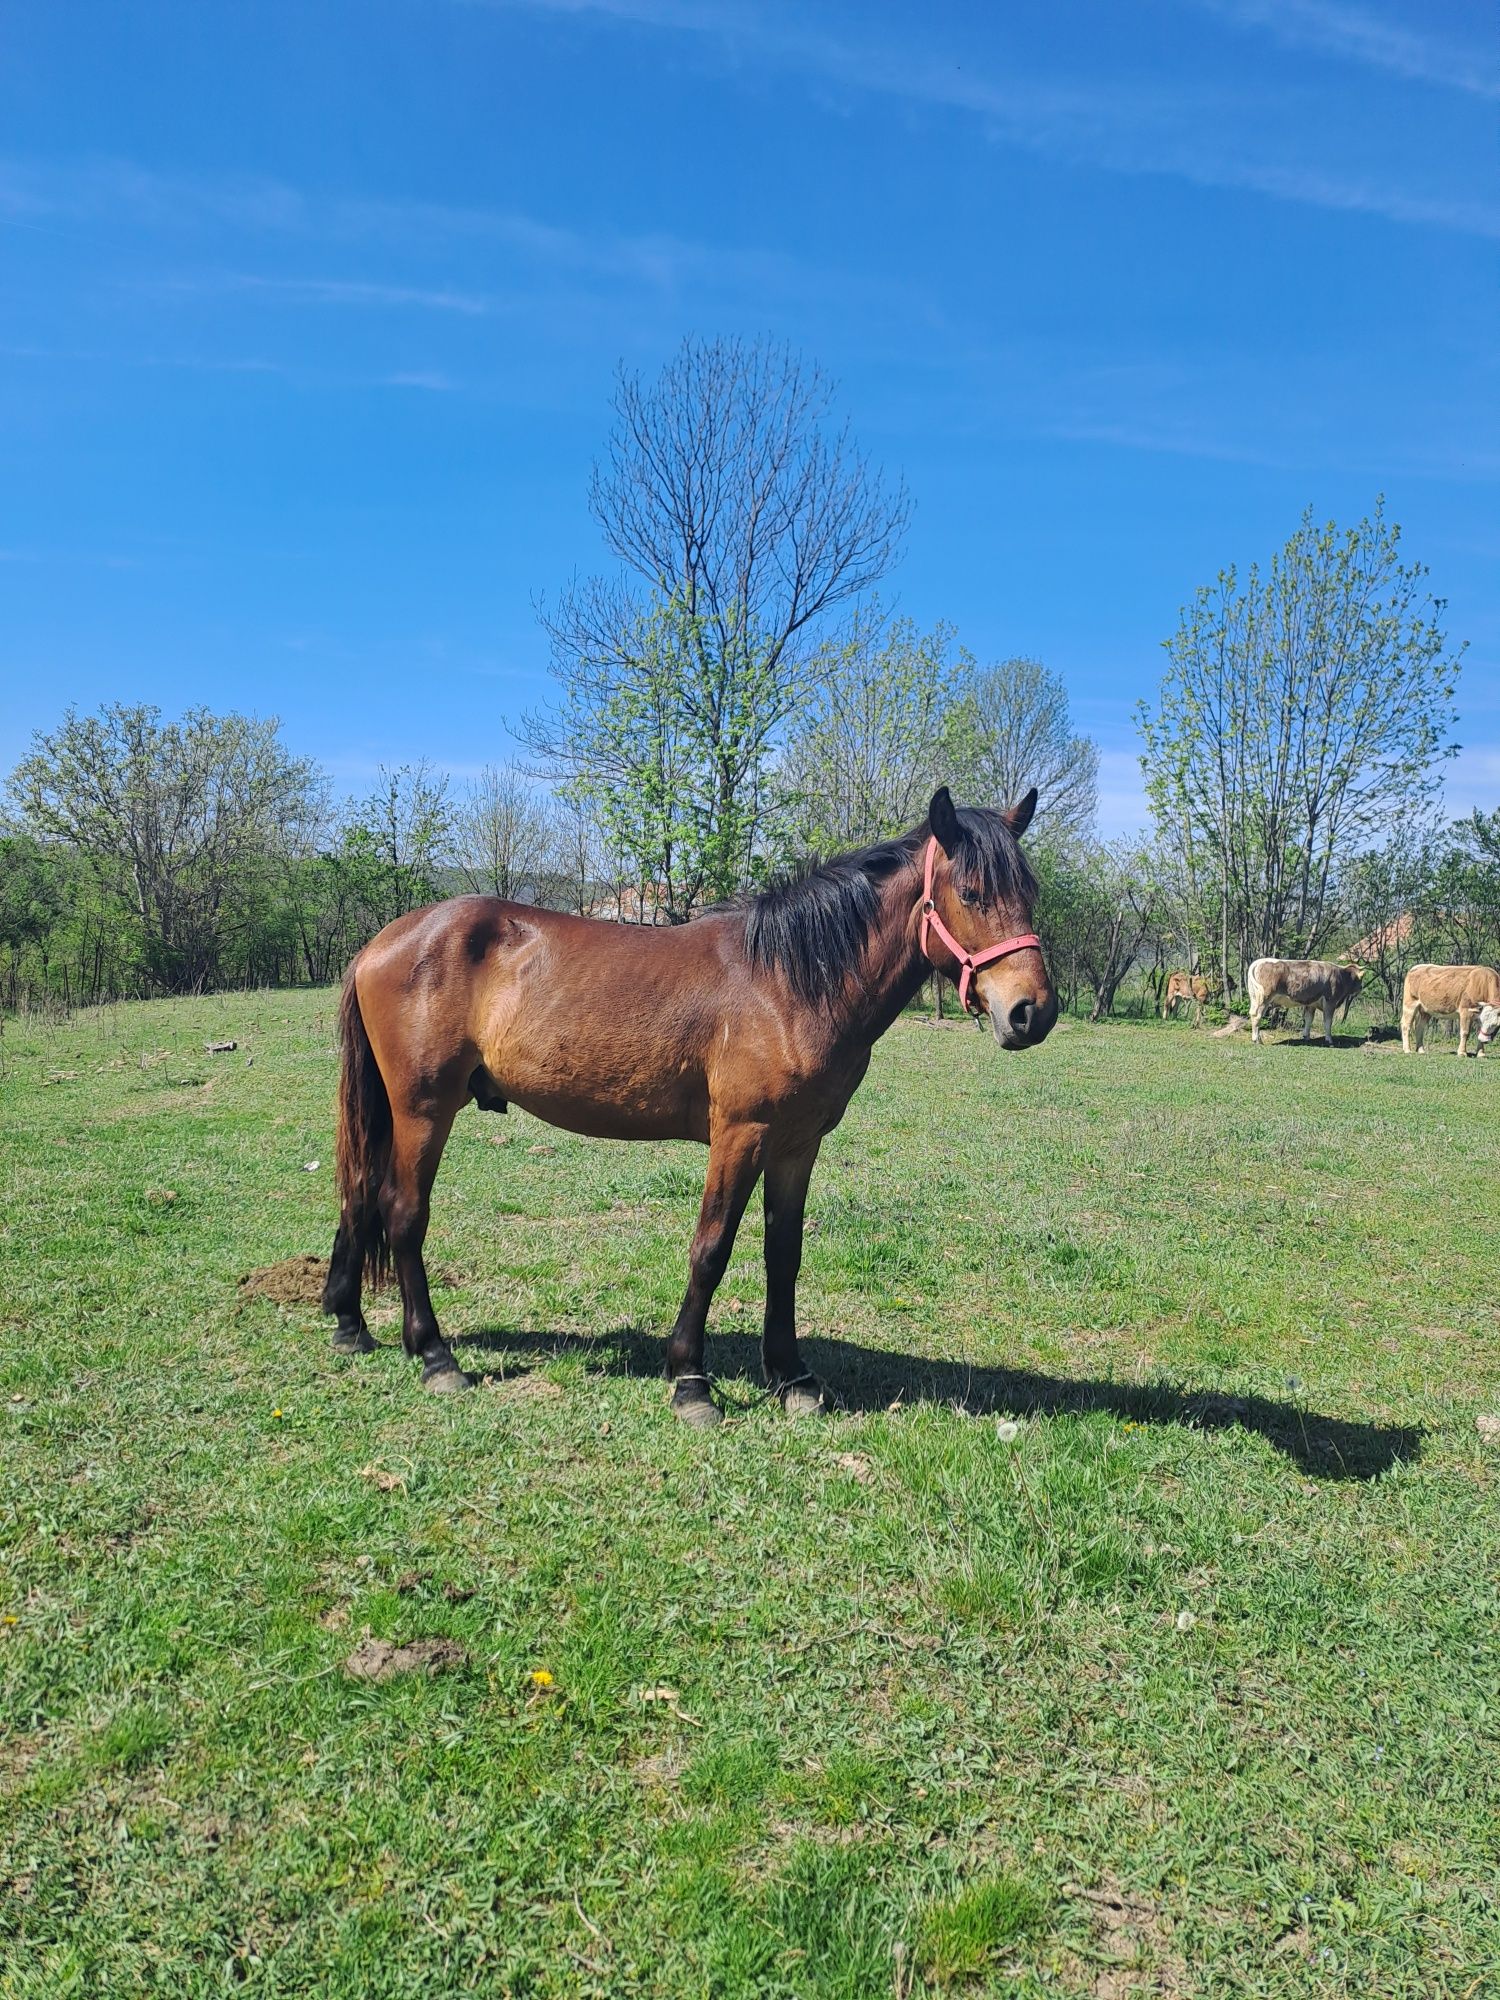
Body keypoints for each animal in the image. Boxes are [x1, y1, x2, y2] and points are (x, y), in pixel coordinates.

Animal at [324, 780, 1064, 1424]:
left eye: (1029, 891)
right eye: (972, 892)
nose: (1032, 1013)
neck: (787, 982)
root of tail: (382, 943)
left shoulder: (798, 1143)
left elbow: (783, 1254)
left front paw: (791, 1377)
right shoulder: (741, 1134)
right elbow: (711, 1249)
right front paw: (690, 1380)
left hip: (395, 1112)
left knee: (360, 1194)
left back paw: (350, 1323)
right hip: (423, 1110)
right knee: (403, 1213)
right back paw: (434, 1354)